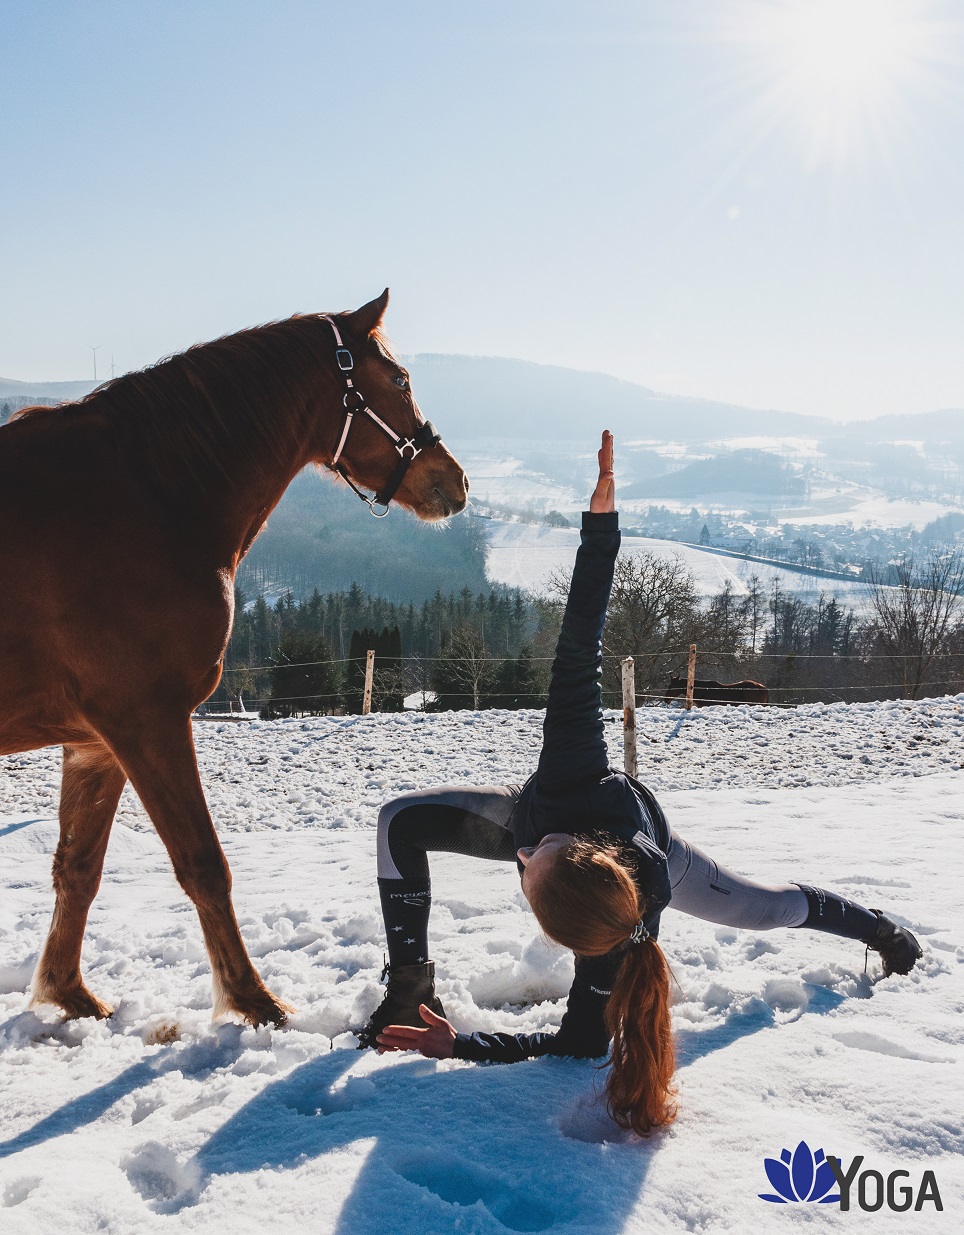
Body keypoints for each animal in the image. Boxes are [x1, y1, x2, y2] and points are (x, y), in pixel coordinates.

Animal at [0, 288, 466, 1022]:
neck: (146, 497)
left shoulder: (95, 741)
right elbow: (203, 864)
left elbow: (78, 869)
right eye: (398, 381)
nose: (455, 481)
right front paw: (253, 1001)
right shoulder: (148, 721)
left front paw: (67, 993)